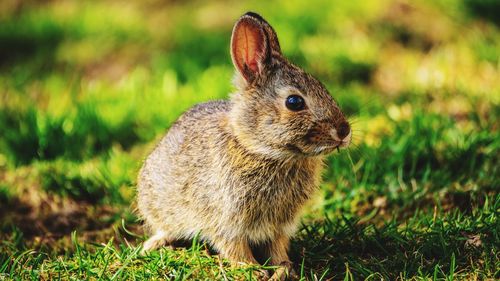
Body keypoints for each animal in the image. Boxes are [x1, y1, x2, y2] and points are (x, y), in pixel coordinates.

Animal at [137, 10, 352, 278]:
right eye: (294, 102)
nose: (344, 131)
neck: (261, 151)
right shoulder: (225, 219)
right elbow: (233, 247)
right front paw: (252, 269)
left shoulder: (279, 226)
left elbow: (277, 247)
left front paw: (284, 269)